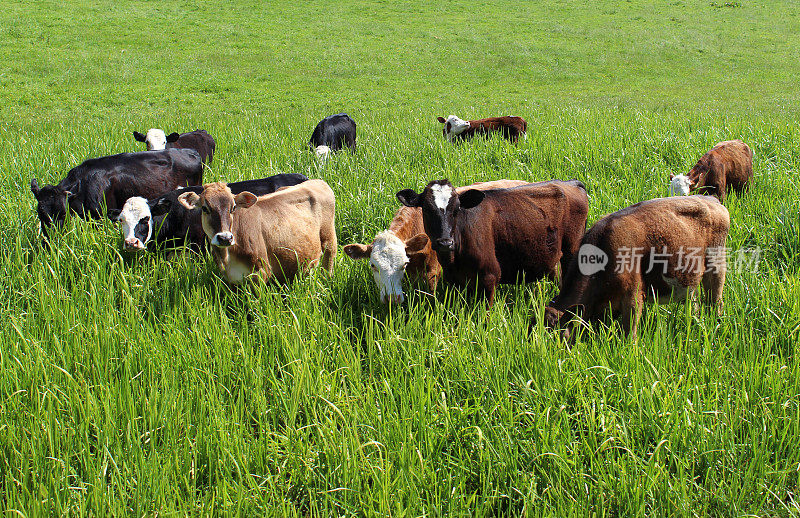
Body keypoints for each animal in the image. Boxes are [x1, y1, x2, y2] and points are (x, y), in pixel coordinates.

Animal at [177, 179, 336, 284]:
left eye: (233, 207)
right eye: (205, 208)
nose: (225, 238)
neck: (228, 257)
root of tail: (317, 181)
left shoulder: (261, 272)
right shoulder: (231, 279)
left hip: (329, 239)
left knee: (329, 259)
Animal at [396, 180, 588, 306]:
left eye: (457, 209)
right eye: (427, 209)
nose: (445, 242)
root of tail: (571, 182)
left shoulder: (490, 277)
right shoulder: (455, 282)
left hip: (571, 250)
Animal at [544, 196, 732, 342]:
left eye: (559, 336)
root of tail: (713, 200)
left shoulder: (633, 295)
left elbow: (630, 332)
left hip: (716, 265)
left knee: (715, 301)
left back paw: (716, 322)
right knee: (694, 302)